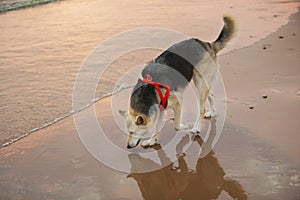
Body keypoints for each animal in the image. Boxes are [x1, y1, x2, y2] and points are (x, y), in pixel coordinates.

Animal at [120, 16, 237, 148]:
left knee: (201, 109)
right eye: (128, 132)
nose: (128, 146)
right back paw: (211, 112)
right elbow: (157, 128)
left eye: (132, 132)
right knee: (211, 95)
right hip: (200, 81)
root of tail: (207, 44)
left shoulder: (178, 100)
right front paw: (152, 141)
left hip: (200, 82)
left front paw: (183, 126)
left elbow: (176, 126)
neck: (148, 91)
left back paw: (196, 127)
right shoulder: (160, 109)